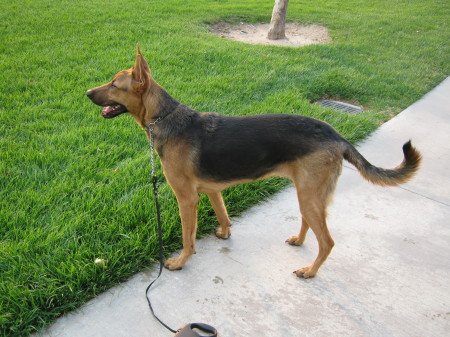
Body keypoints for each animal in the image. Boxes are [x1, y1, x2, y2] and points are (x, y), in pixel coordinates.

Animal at [85, 47, 422, 278]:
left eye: (115, 84)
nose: (86, 92)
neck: (165, 118)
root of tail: (337, 135)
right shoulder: (212, 191)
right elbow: (223, 216)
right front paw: (224, 234)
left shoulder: (186, 198)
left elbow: (188, 237)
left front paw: (181, 261)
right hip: (308, 193)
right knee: (309, 224)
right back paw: (298, 241)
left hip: (310, 195)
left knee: (327, 242)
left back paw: (309, 271)